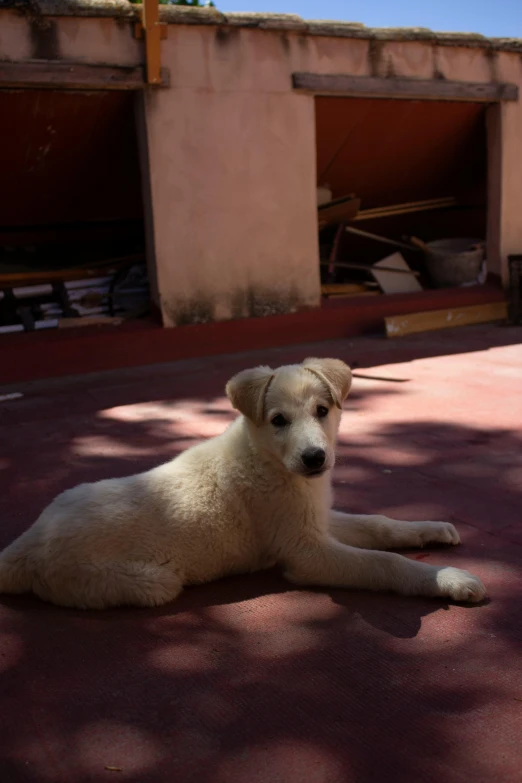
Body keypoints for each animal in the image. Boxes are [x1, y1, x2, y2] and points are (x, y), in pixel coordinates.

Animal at [0, 358, 484, 608]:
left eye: (323, 411)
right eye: (278, 420)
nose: (315, 458)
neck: (268, 460)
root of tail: (24, 545)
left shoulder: (315, 519)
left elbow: (379, 524)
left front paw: (430, 529)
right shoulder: (306, 552)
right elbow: (384, 563)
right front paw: (449, 580)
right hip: (148, 582)